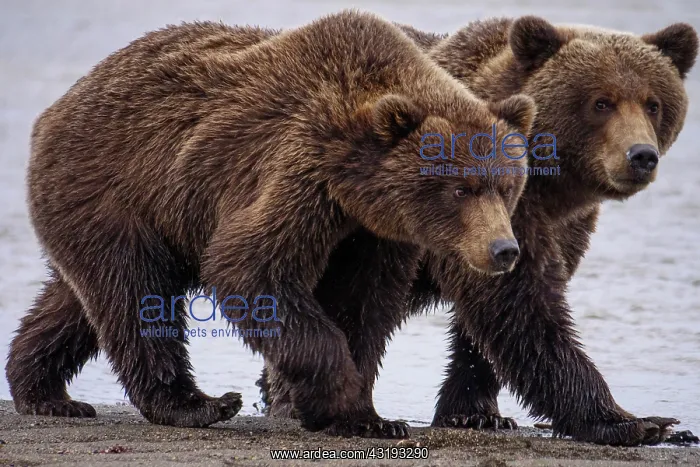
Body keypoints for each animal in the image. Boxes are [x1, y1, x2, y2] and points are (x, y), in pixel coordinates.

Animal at [5, 10, 536, 438]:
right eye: (461, 189)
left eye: (507, 185)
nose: (503, 249)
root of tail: (57, 107)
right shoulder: (297, 169)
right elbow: (250, 269)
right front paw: (342, 399)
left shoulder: (376, 233)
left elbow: (363, 305)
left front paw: (368, 417)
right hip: (117, 190)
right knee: (135, 293)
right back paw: (201, 403)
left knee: (78, 301)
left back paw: (44, 391)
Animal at [257, 16, 698, 446]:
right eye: (601, 102)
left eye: (654, 103)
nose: (641, 156)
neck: (551, 186)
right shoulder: (485, 214)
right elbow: (522, 308)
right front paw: (636, 421)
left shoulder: (557, 224)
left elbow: (495, 319)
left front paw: (475, 413)